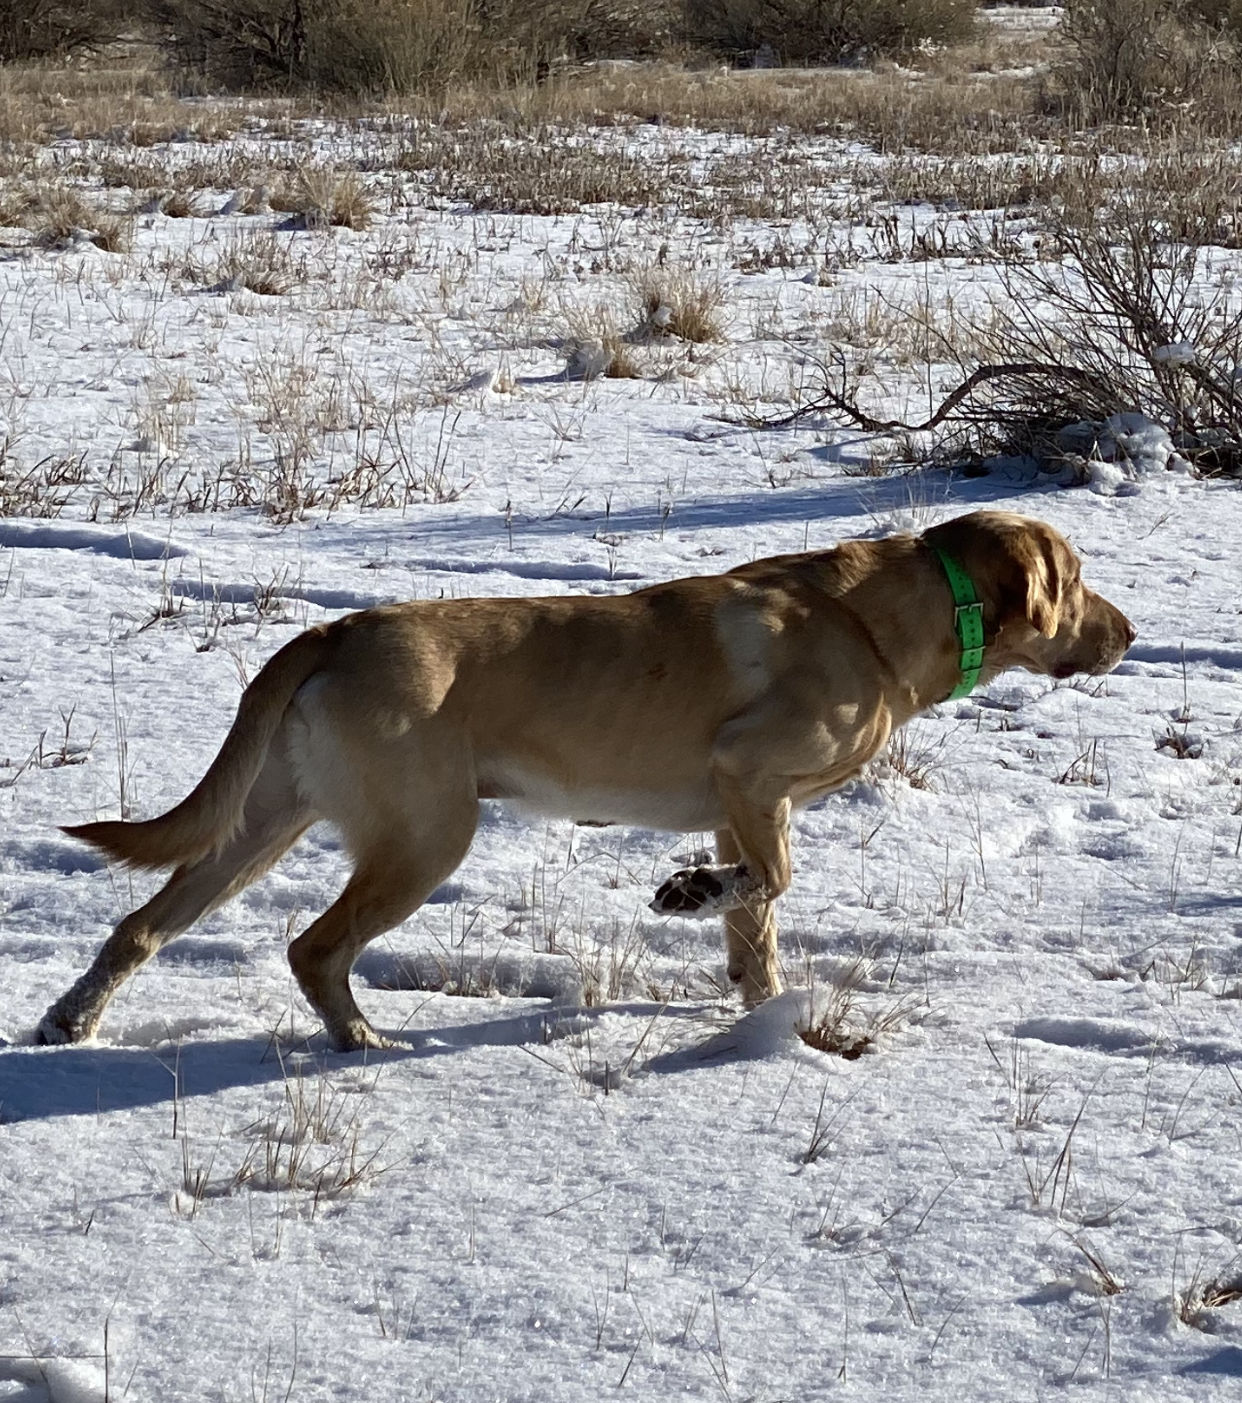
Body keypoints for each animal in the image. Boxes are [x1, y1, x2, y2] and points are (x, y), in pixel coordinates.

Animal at [36, 510, 1133, 1049]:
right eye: (1079, 582)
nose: (1130, 633)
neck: (892, 619)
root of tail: (334, 630)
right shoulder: (751, 773)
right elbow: (770, 881)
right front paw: (688, 892)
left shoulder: (739, 805)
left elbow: (757, 925)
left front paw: (759, 1011)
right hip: (424, 838)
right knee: (314, 948)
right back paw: (362, 1041)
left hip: (264, 824)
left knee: (141, 923)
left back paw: (71, 1018)